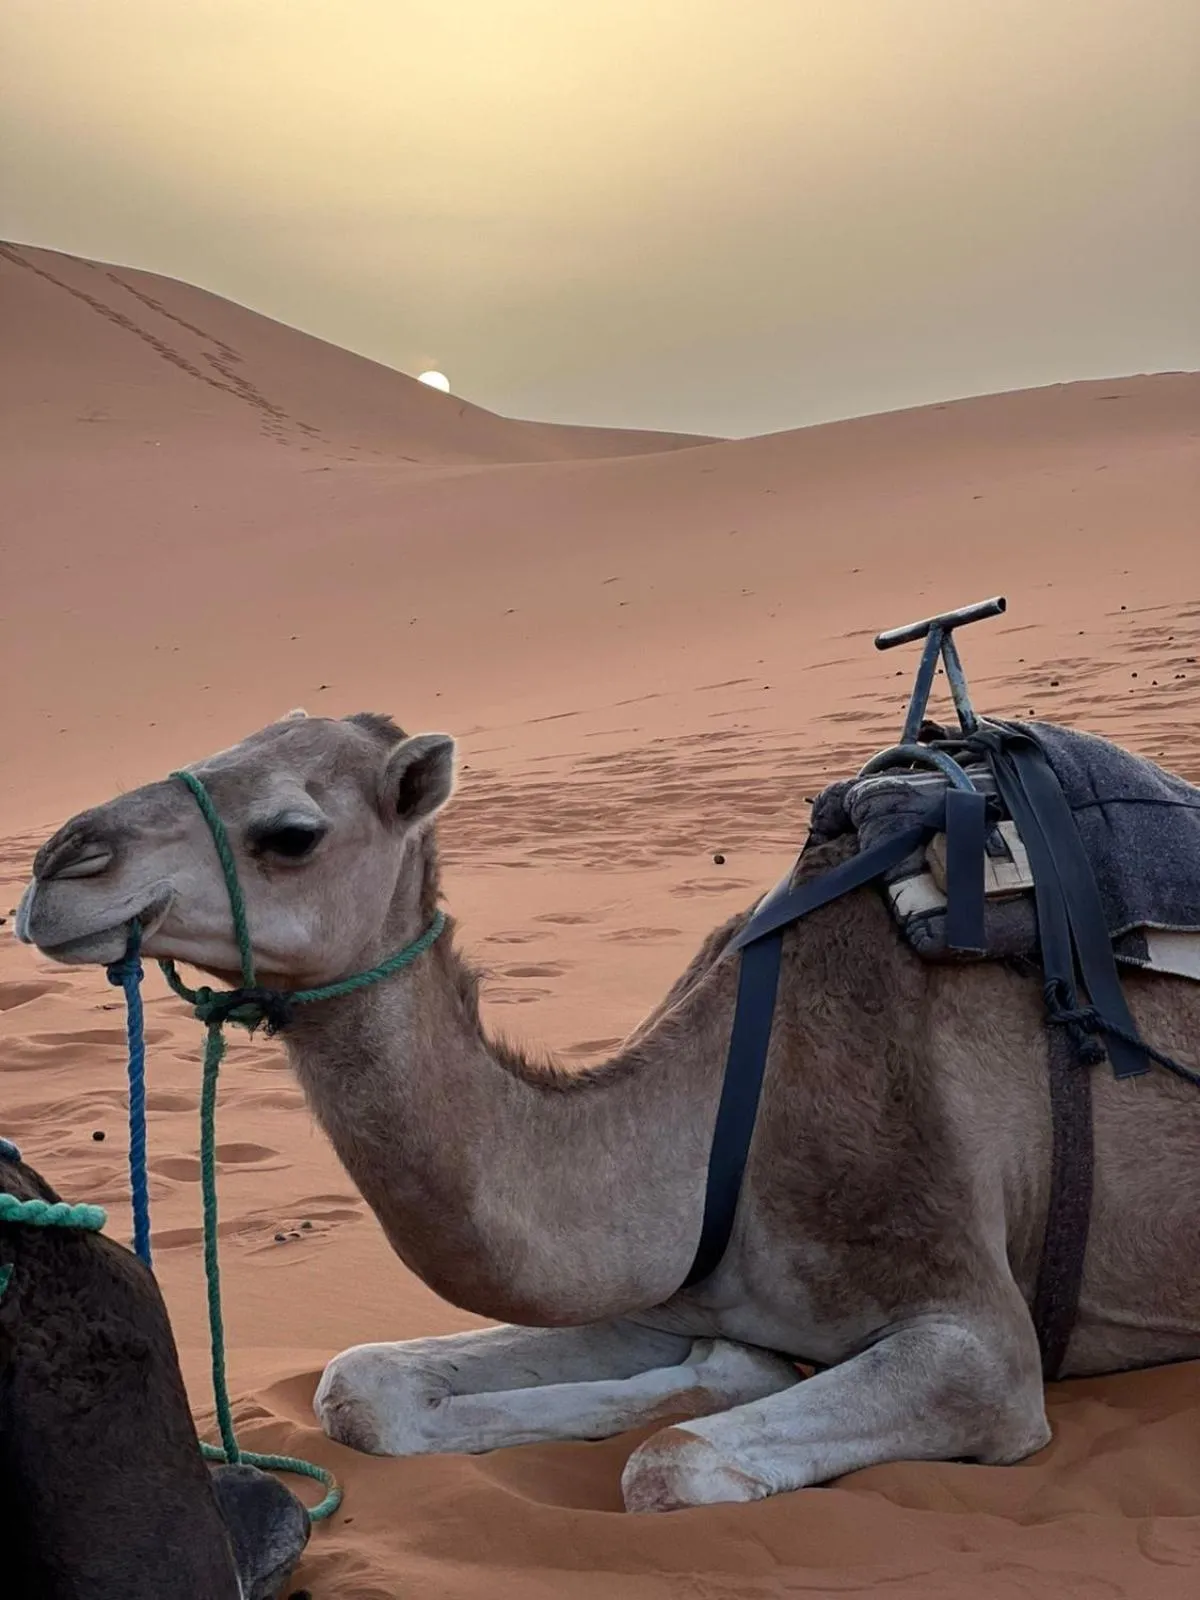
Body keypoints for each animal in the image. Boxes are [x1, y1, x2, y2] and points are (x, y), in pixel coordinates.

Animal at [15, 709, 1200, 1514]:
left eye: (292, 832)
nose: (58, 863)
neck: (729, 1109)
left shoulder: (981, 1337)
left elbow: (666, 1465)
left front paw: (715, 1389)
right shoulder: (665, 1281)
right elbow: (359, 1385)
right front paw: (720, 1370)